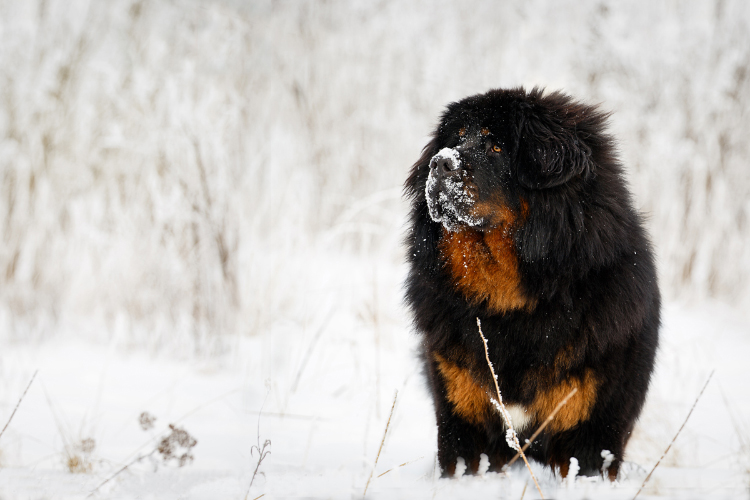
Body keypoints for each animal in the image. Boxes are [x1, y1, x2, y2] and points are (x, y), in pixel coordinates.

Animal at [408, 88, 660, 478]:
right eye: (457, 139)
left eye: (496, 147)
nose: (440, 163)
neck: (511, 303)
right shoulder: (460, 413)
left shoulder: (589, 434)